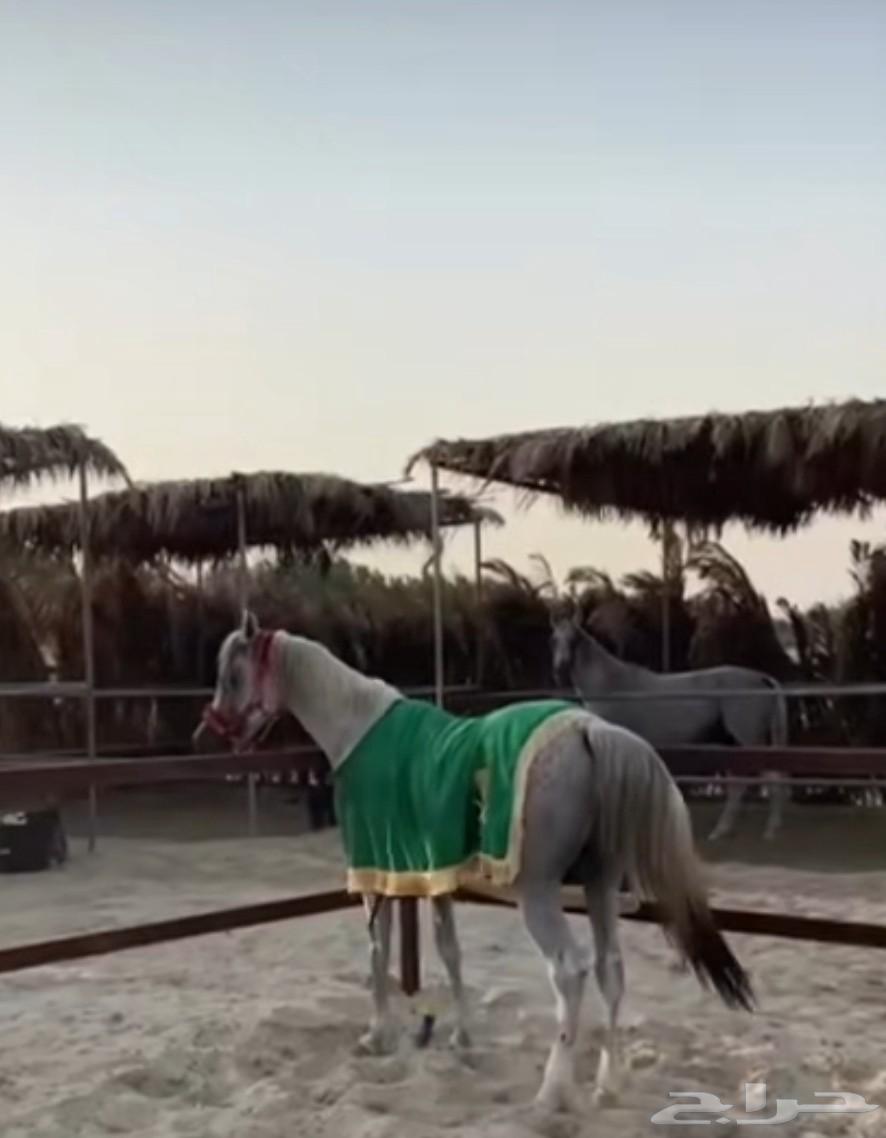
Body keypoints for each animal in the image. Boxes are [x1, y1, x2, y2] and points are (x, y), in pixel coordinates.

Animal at [193, 611, 753, 1113]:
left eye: (232, 674)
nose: (214, 727)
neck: (359, 726)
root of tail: (589, 731)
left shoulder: (378, 872)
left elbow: (379, 948)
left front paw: (378, 1034)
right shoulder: (431, 873)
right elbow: (450, 949)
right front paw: (460, 1036)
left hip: (539, 893)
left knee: (569, 972)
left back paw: (552, 1093)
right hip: (599, 884)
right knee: (610, 969)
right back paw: (608, 1085)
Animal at [550, 615, 790, 841]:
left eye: (574, 639)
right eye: (554, 639)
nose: (559, 670)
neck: (612, 687)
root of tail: (762, 679)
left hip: (749, 741)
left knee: (768, 776)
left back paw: (769, 830)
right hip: (732, 743)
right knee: (738, 784)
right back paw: (723, 830)